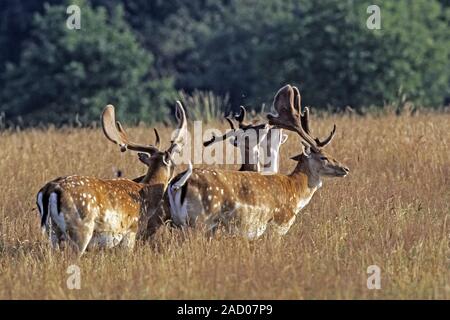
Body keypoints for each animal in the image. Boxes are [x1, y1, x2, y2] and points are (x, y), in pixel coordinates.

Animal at [35, 101, 188, 254]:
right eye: (174, 163)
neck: (146, 195)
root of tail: (49, 190)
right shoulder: (130, 231)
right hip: (80, 229)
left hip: (52, 232)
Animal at [164, 84, 348, 239]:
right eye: (323, 157)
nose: (345, 169)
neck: (295, 191)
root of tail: (175, 184)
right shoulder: (277, 225)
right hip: (200, 220)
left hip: (178, 222)